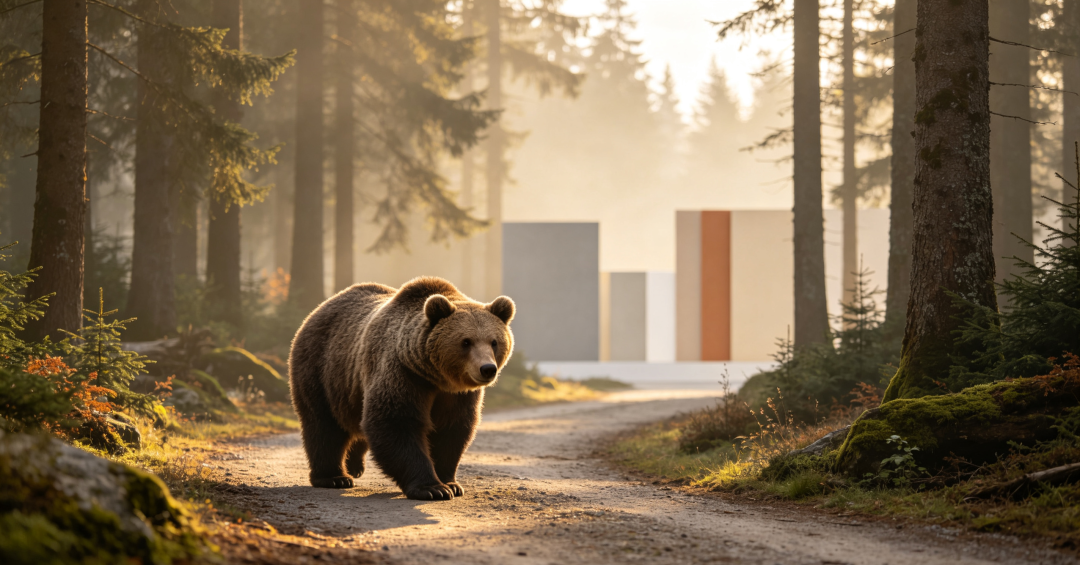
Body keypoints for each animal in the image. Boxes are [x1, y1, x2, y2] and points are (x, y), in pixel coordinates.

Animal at [288, 276, 515, 500]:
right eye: (466, 342)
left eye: (494, 342)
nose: (487, 369)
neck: (436, 378)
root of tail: (318, 309)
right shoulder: (403, 373)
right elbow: (396, 422)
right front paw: (433, 488)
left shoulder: (457, 395)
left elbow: (452, 429)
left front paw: (451, 483)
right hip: (321, 371)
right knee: (323, 425)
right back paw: (334, 477)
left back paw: (354, 466)